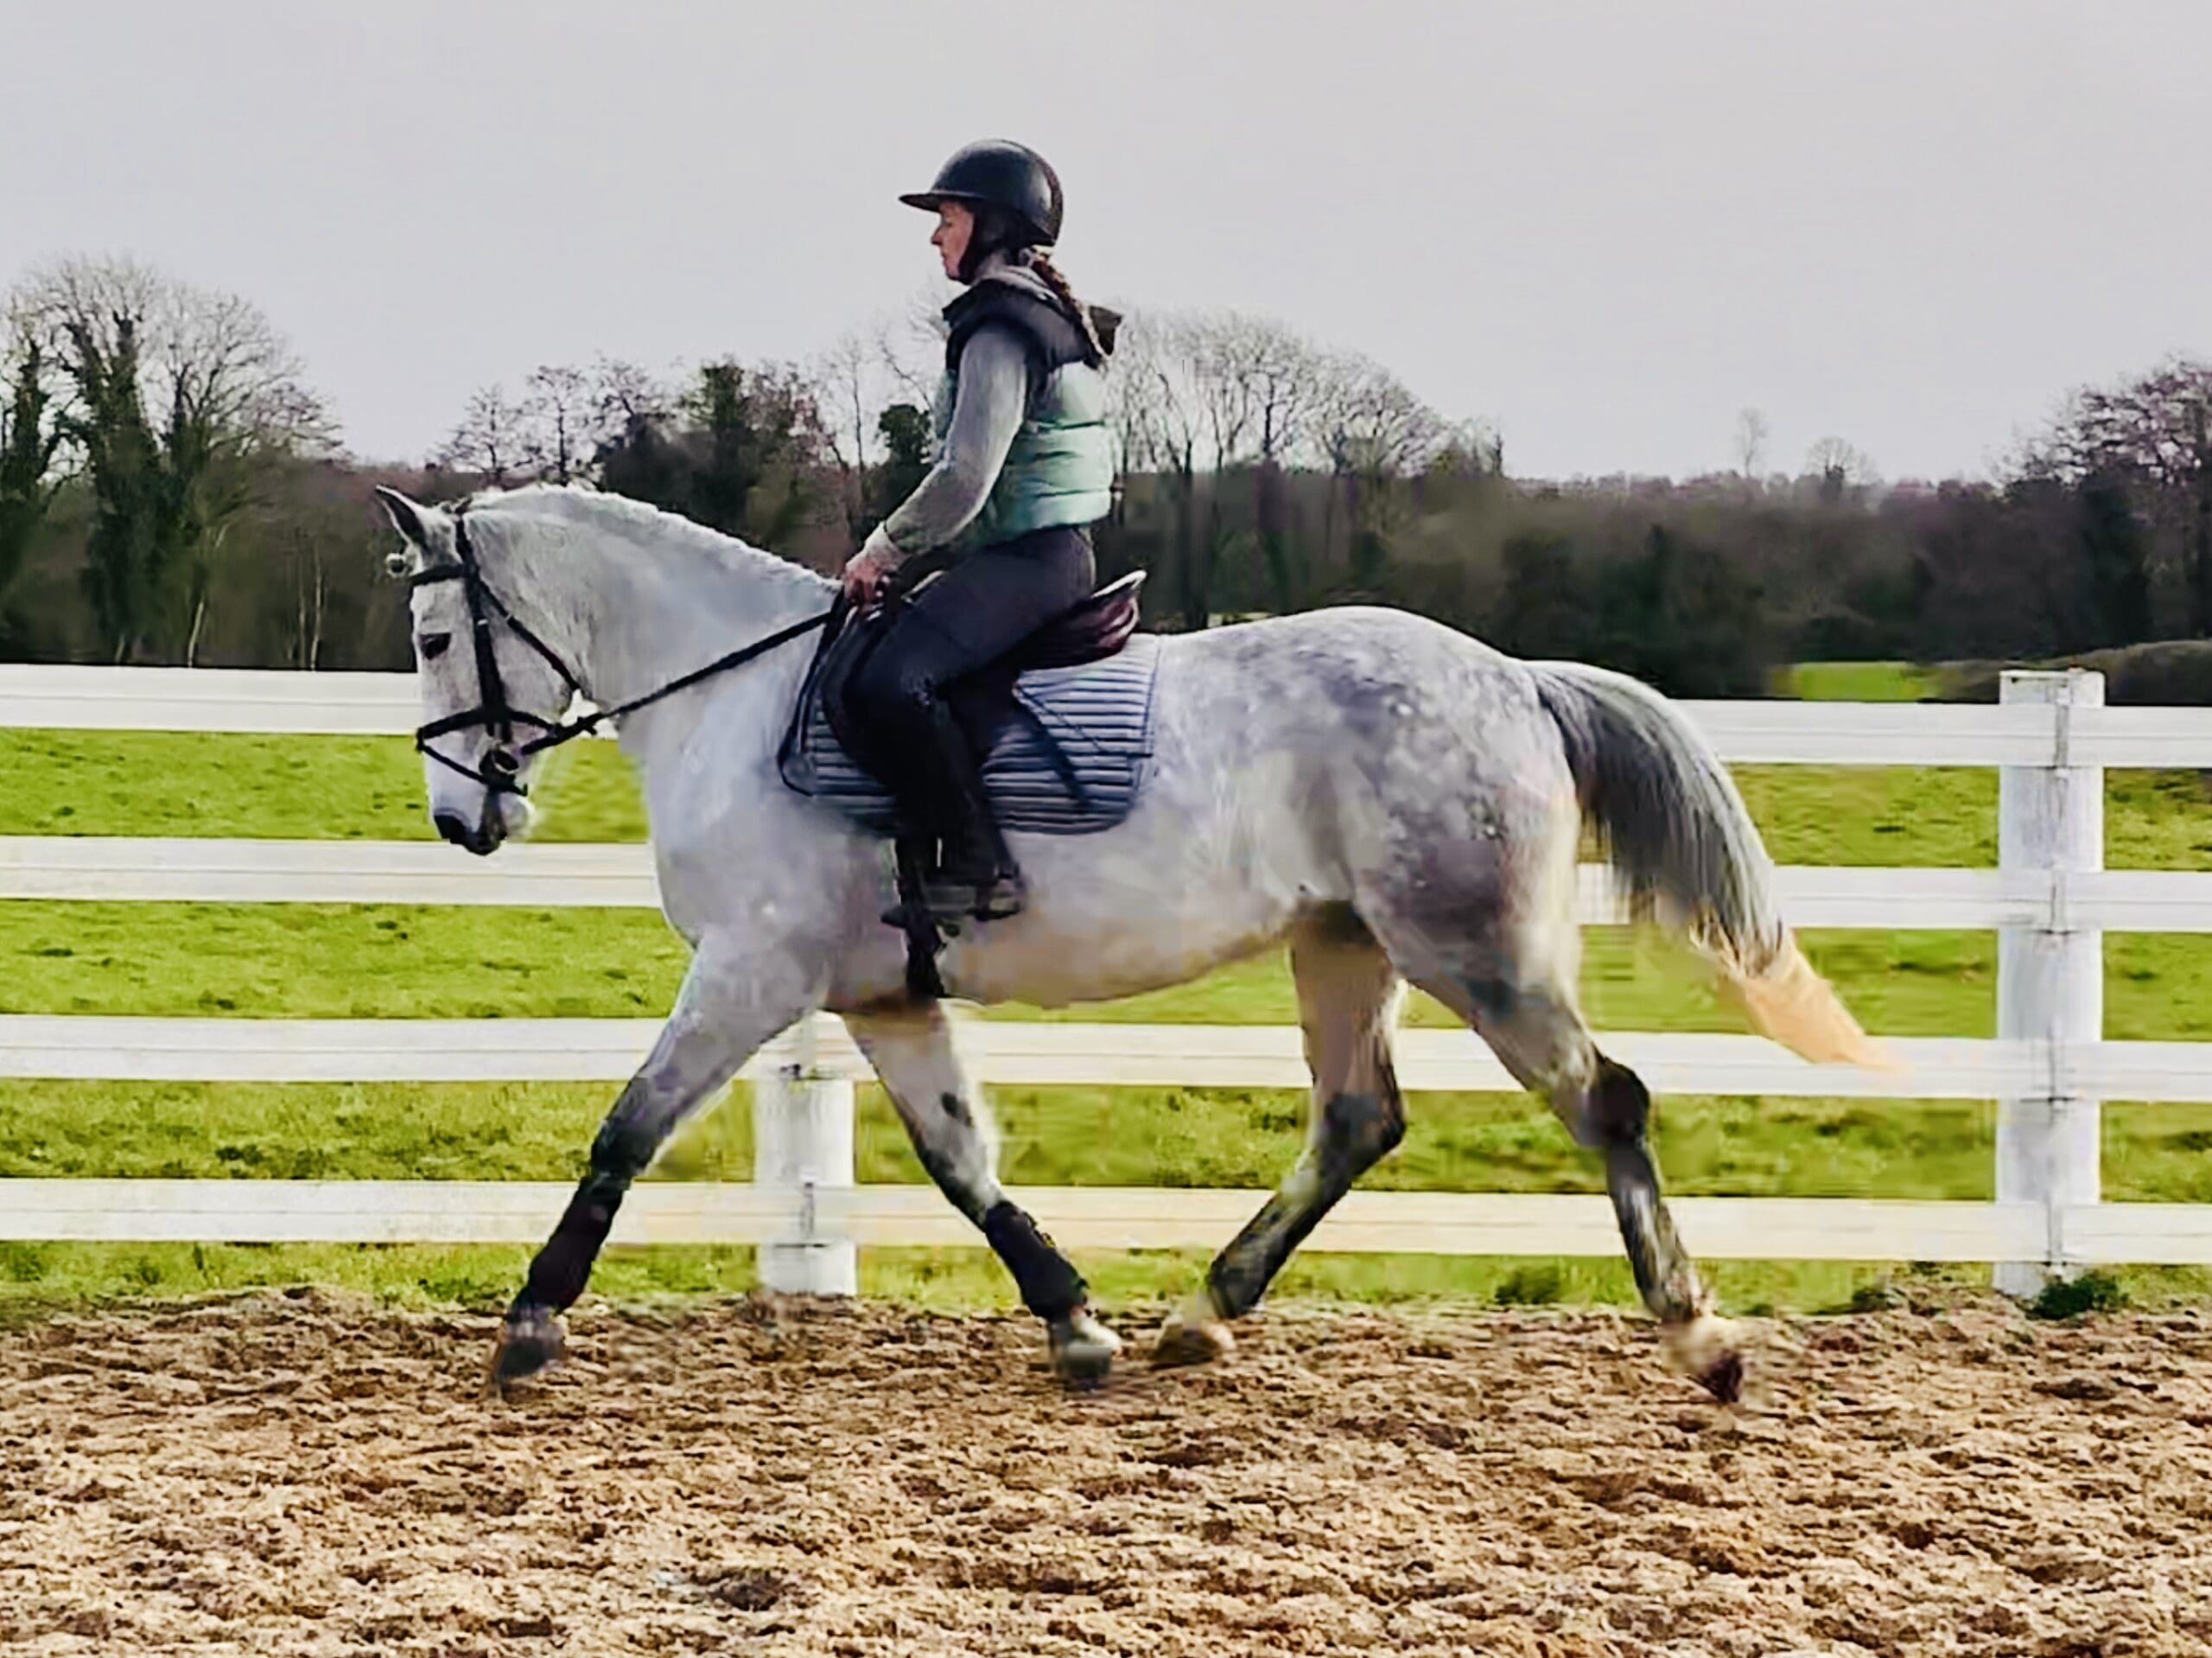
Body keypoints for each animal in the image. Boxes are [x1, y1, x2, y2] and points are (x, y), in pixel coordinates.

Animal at [373, 481, 1885, 1400]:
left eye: (438, 632)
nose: (461, 815)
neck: (734, 696)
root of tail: (1515, 677)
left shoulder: (752, 970)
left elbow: (626, 1128)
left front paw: (531, 1321)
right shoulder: (881, 997)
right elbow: (962, 1162)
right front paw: (1075, 1316)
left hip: (1479, 950)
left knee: (1604, 1099)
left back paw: (1701, 1336)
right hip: (1345, 946)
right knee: (1357, 1118)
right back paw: (1199, 1312)